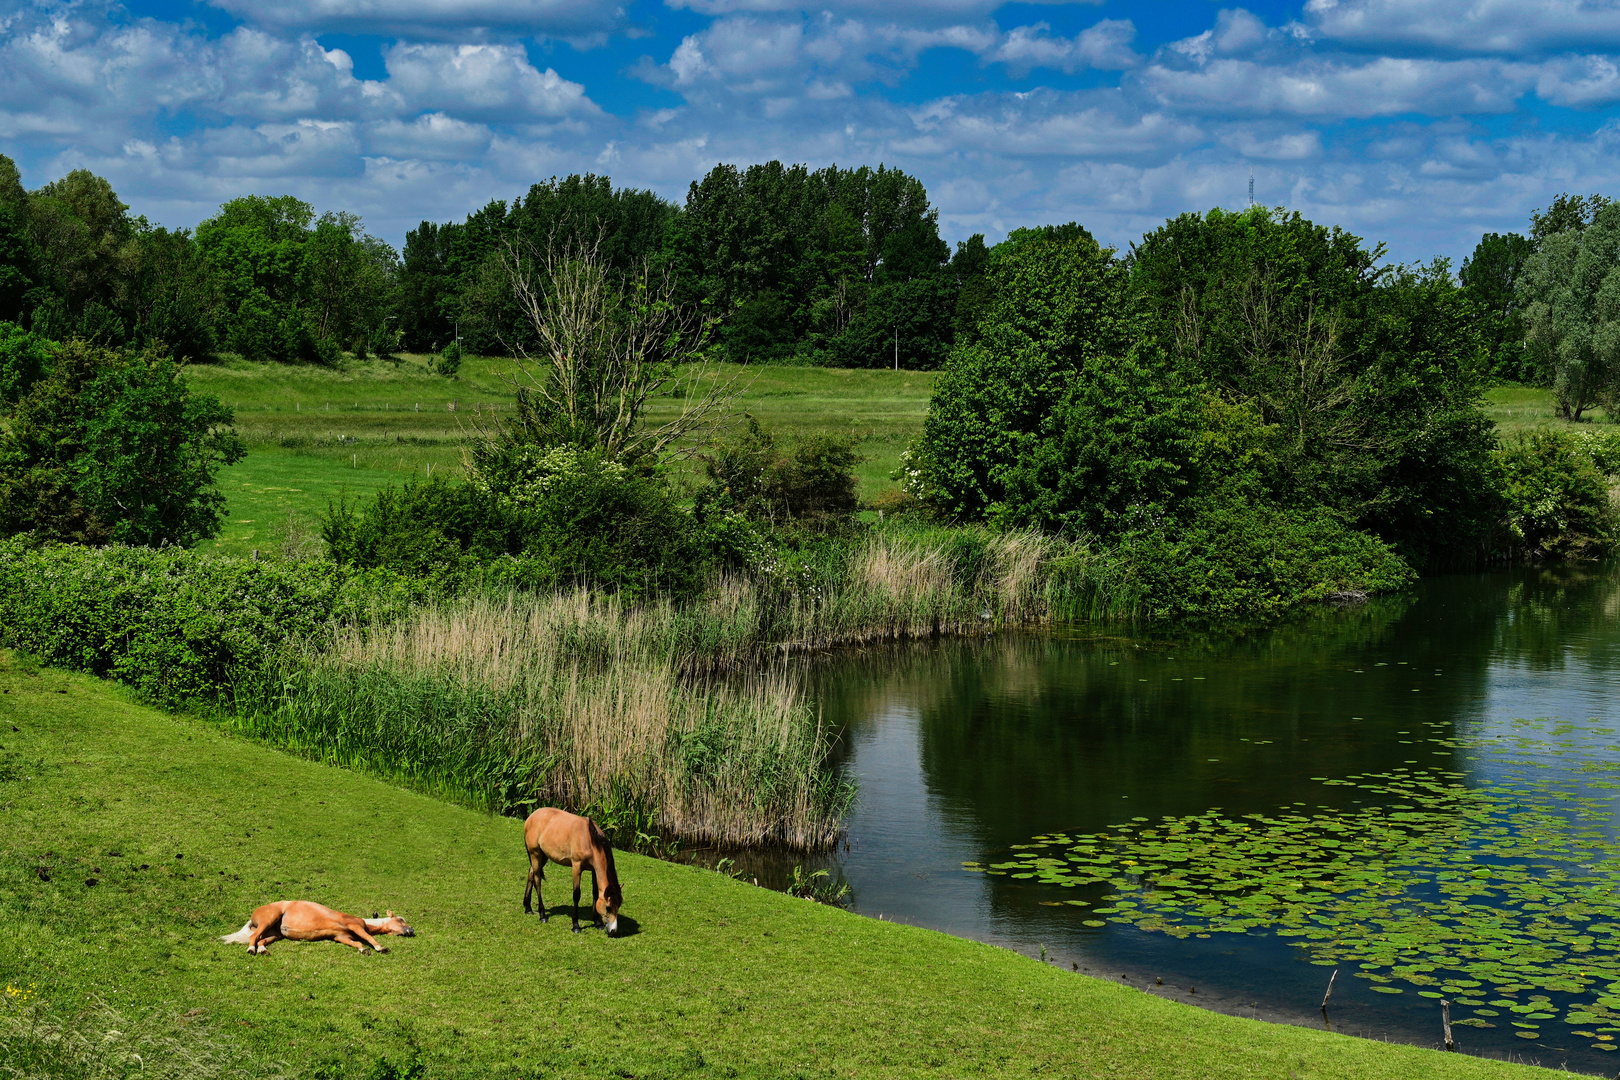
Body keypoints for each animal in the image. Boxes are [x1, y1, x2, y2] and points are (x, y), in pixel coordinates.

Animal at [218, 900, 414, 958]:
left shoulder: (341, 937)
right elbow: (368, 938)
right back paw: (251, 949)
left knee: (261, 941)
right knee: (254, 939)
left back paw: (263, 950)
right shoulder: (354, 926)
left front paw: (363, 950)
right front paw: (380, 948)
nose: (411, 930)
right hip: (269, 920)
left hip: (275, 935)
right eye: (401, 919)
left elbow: (357, 943)